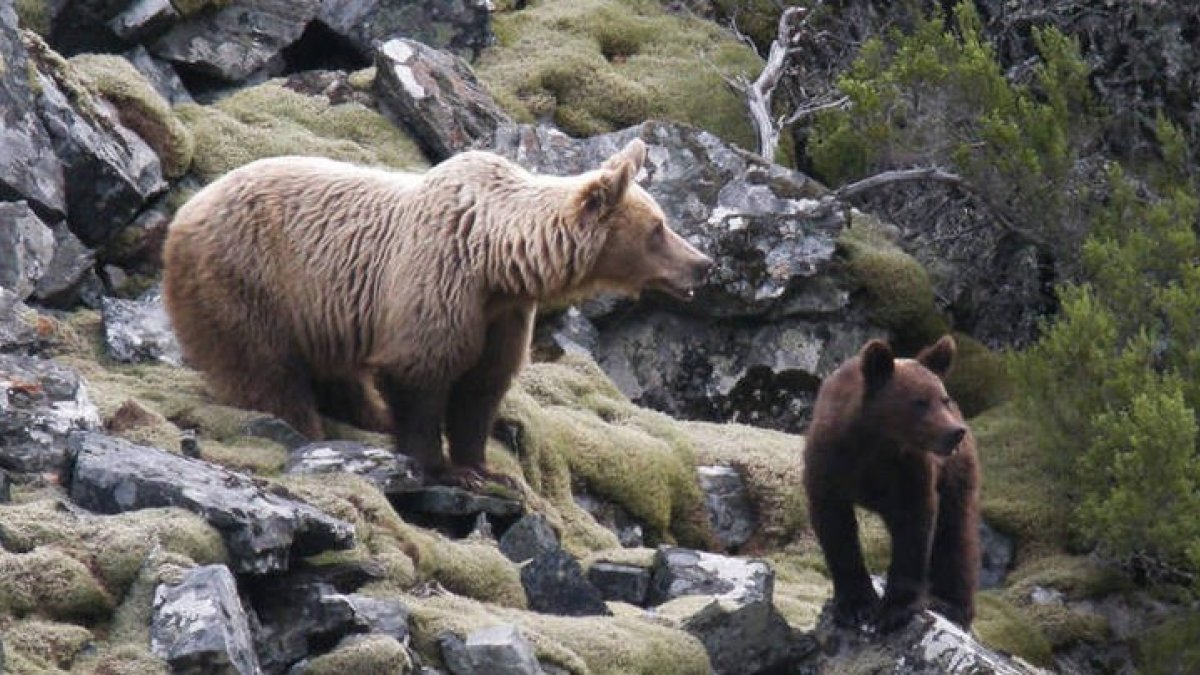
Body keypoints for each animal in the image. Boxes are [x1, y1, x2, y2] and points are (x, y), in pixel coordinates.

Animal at [162, 139, 713, 484]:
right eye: (658, 228)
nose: (703, 265)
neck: (498, 260)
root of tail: (183, 214)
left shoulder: (501, 314)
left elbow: (482, 386)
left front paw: (484, 467)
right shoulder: (439, 280)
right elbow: (422, 372)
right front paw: (440, 466)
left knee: (337, 375)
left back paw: (367, 417)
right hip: (249, 280)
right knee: (266, 370)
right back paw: (306, 428)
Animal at [802, 334, 981, 632]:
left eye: (944, 398)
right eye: (920, 401)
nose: (955, 432)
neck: (877, 442)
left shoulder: (909, 470)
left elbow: (914, 526)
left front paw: (897, 609)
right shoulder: (829, 464)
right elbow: (835, 527)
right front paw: (856, 606)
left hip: (956, 473)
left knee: (955, 532)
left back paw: (951, 603)